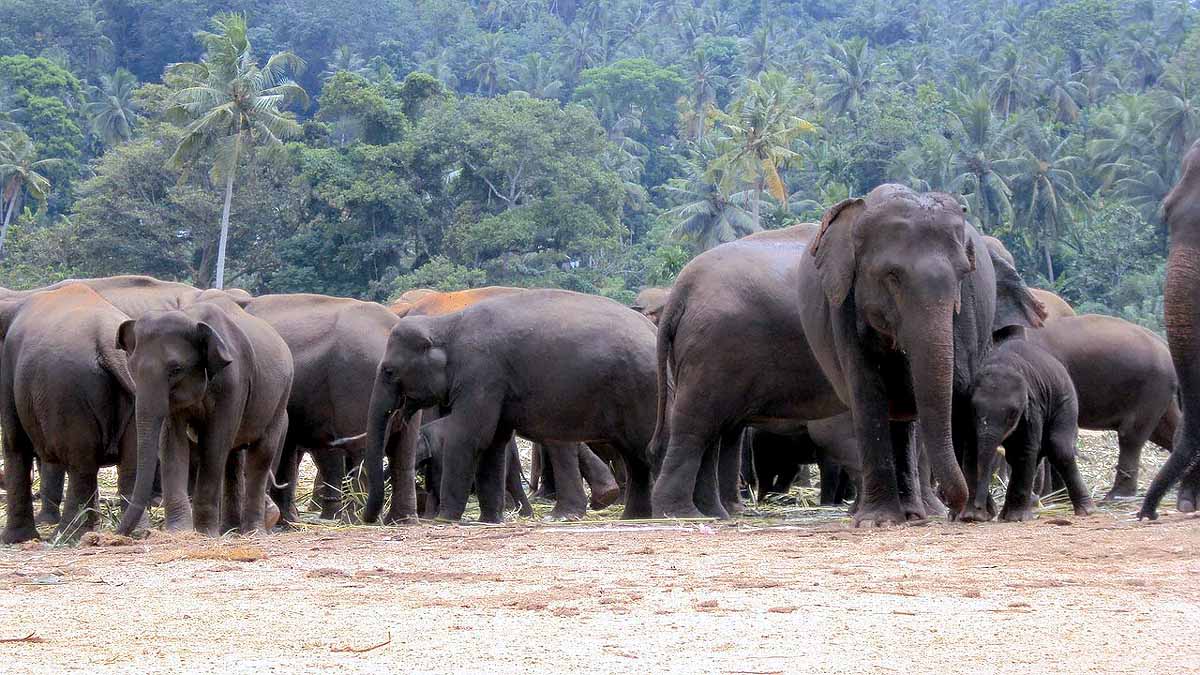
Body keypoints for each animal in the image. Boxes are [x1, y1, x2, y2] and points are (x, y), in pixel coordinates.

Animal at [0, 285, 137, 543]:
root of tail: (108, 345)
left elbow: (14, 443)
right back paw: (133, 532)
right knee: (131, 463)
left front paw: (13, 540)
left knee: (80, 462)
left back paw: (66, 536)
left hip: (67, 394)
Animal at [115, 293, 294, 536]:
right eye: (131, 368)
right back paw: (229, 529)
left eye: (176, 370)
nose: (116, 534)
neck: (192, 317)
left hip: (280, 398)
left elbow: (214, 442)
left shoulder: (233, 382)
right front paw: (179, 531)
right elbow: (172, 442)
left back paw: (254, 532)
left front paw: (205, 533)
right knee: (234, 458)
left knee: (261, 454)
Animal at [362, 289, 659, 523]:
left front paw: (445, 519)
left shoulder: (481, 374)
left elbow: (469, 437)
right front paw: (489, 520)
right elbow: (494, 442)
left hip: (640, 391)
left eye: (388, 371)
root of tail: (653, 331)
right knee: (634, 456)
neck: (447, 323)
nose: (370, 519)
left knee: (646, 448)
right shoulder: (494, 387)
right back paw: (633, 517)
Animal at [650, 187, 1046, 525]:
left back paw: (711, 515)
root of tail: (680, 289)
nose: (959, 507)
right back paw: (679, 515)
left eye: (966, 275)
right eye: (891, 277)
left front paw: (917, 514)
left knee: (714, 427)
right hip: (714, 350)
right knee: (697, 422)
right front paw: (898, 515)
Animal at [963, 326, 1096, 522]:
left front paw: (1017, 518)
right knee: (1034, 453)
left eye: (1013, 415)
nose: (980, 510)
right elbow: (972, 448)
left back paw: (1087, 511)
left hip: (1066, 402)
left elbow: (1025, 449)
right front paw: (972, 516)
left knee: (1058, 447)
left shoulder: (1032, 408)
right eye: (974, 410)